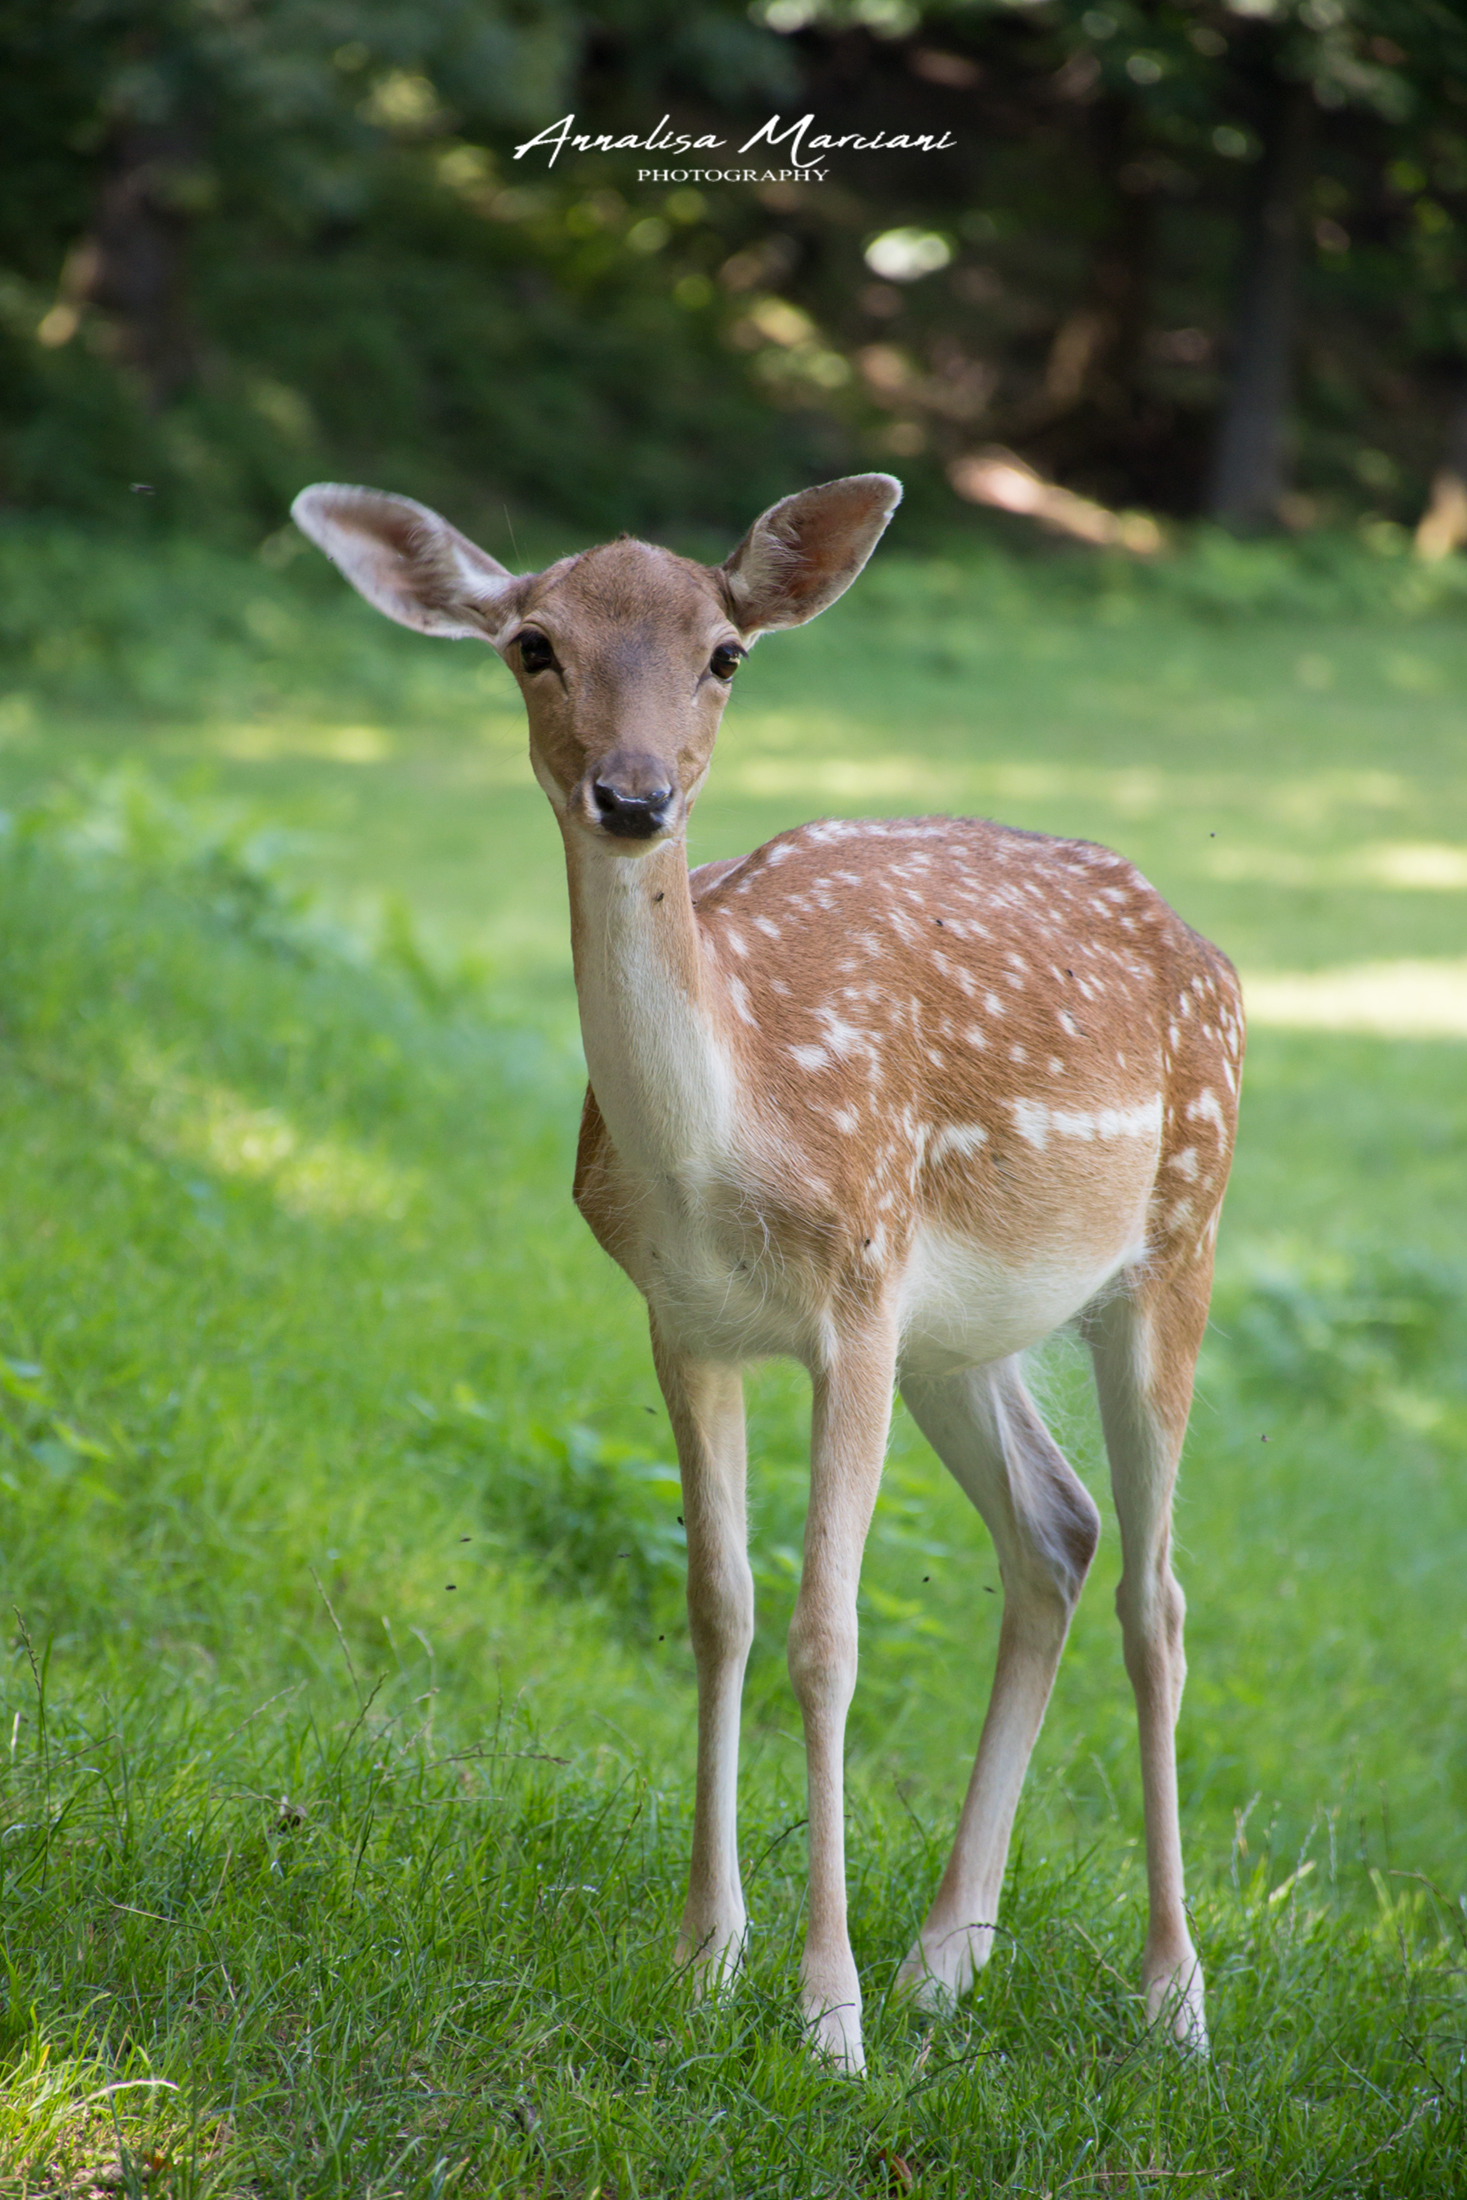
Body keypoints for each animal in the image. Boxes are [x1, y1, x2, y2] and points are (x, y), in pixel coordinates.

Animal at [292, 472, 1242, 2075]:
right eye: (533, 643)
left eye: (724, 652)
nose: (633, 796)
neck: (725, 1144)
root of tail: (1218, 958)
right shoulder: (684, 1320)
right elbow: (719, 1606)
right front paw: (705, 1961)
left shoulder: (854, 1291)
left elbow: (826, 1633)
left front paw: (825, 2015)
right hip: (963, 1334)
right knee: (1056, 1531)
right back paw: (946, 1960)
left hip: (1178, 1233)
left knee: (1158, 1599)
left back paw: (1169, 1999)